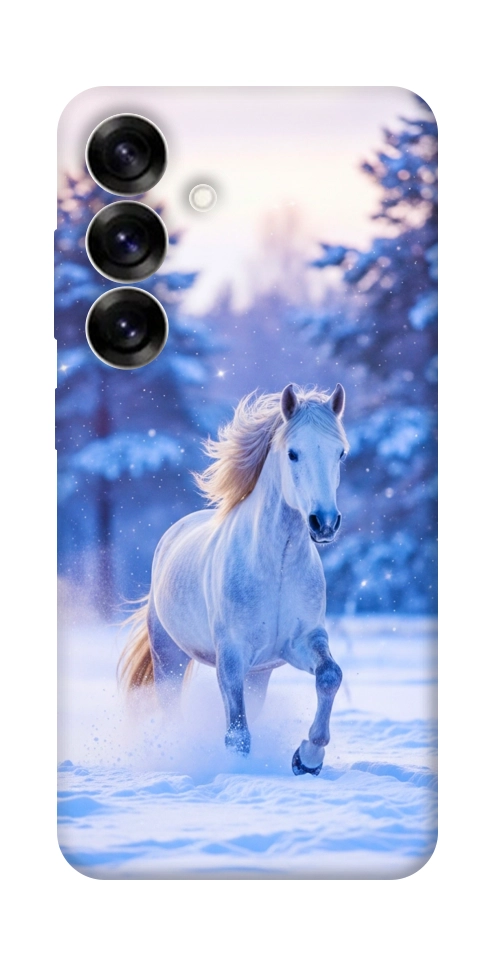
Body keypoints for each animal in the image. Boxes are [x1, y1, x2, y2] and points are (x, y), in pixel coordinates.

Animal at [119, 382, 349, 775]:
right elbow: (237, 734)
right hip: (169, 658)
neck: (276, 567)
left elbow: (330, 676)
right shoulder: (231, 656)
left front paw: (307, 758)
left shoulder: (301, 642)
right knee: (171, 709)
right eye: (293, 453)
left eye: (340, 453)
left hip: (259, 674)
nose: (324, 523)